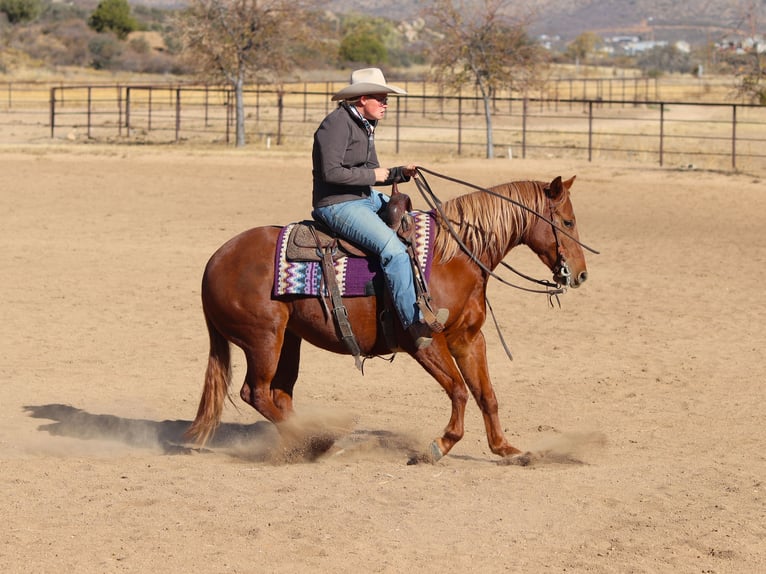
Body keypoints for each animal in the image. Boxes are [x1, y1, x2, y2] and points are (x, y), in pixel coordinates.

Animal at [184, 174, 588, 464]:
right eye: (568, 221)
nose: (581, 274)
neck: (452, 257)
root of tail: (213, 262)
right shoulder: (424, 340)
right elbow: (459, 390)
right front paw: (439, 445)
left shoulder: (469, 339)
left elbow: (486, 395)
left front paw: (507, 449)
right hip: (264, 340)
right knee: (255, 392)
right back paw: (318, 442)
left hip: (289, 339)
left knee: (279, 395)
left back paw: (308, 441)